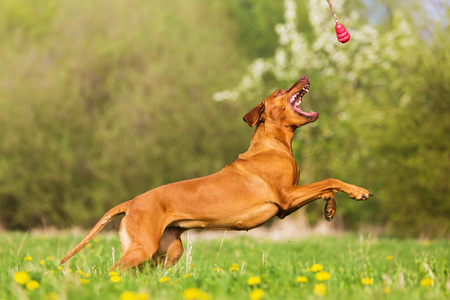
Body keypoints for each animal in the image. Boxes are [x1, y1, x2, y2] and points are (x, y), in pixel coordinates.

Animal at [61, 75, 374, 272]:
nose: (304, 76)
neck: (274, 144)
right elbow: (330, 179)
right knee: (110, 270)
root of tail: (131, 202)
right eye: (279, 93)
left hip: (167, 251)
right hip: (142, 248)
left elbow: (326, 188)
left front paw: (330, 207)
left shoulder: (287, 205)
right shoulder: (287, 197)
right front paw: (358, 191)